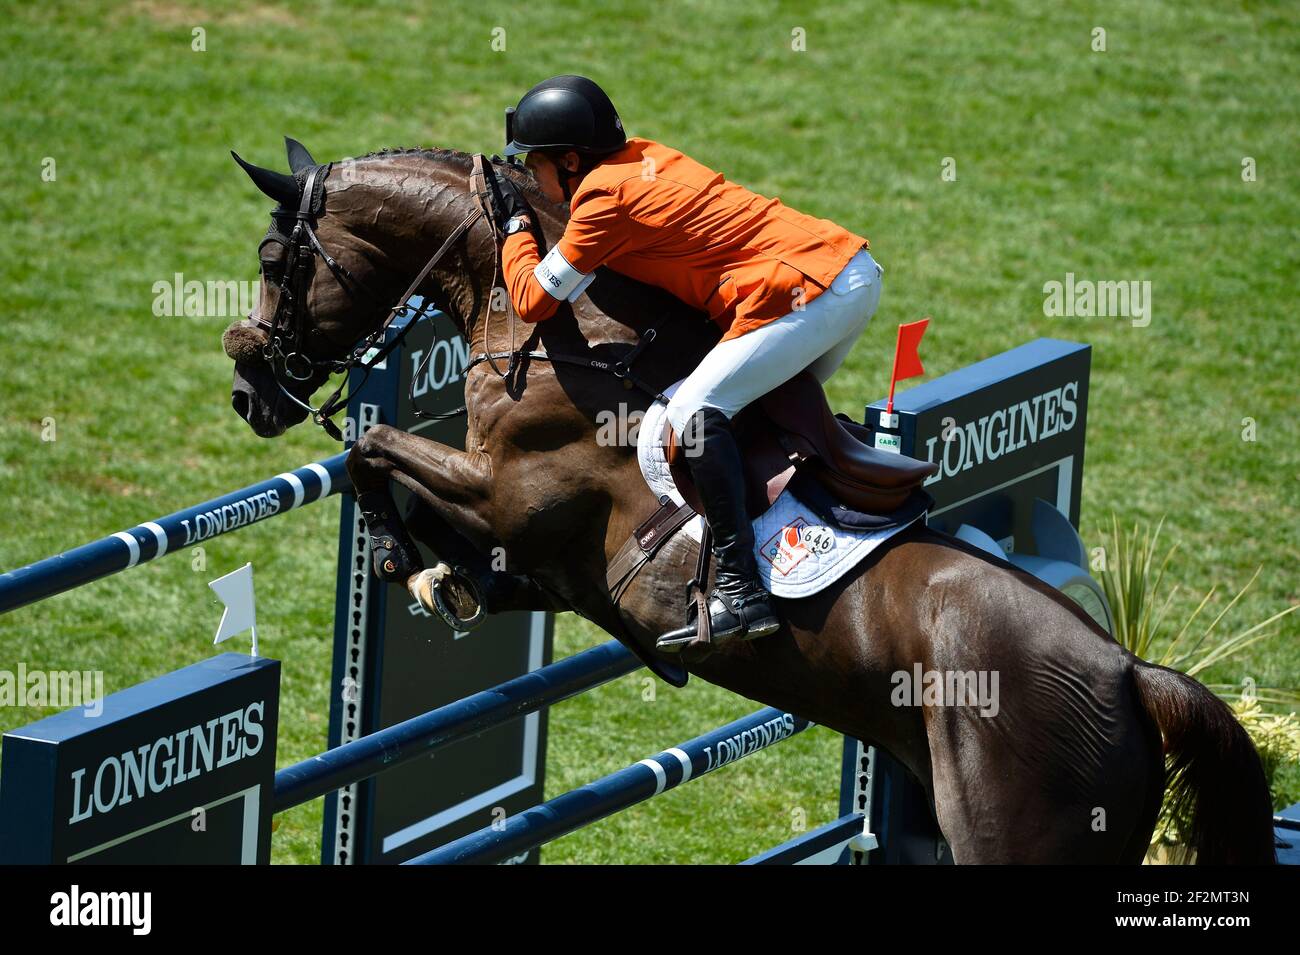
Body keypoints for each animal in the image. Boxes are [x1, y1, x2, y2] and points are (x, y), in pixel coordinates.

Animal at [218, 141, 1274, 867]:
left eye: (274, 257)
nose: (248, 393)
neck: (551, 328)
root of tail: (1129, 671)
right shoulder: (548, 562)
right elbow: (447, 530)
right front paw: (444, 579)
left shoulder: (515, 500)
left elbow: (369, 451)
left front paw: (402, 556)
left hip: (1011, 827)